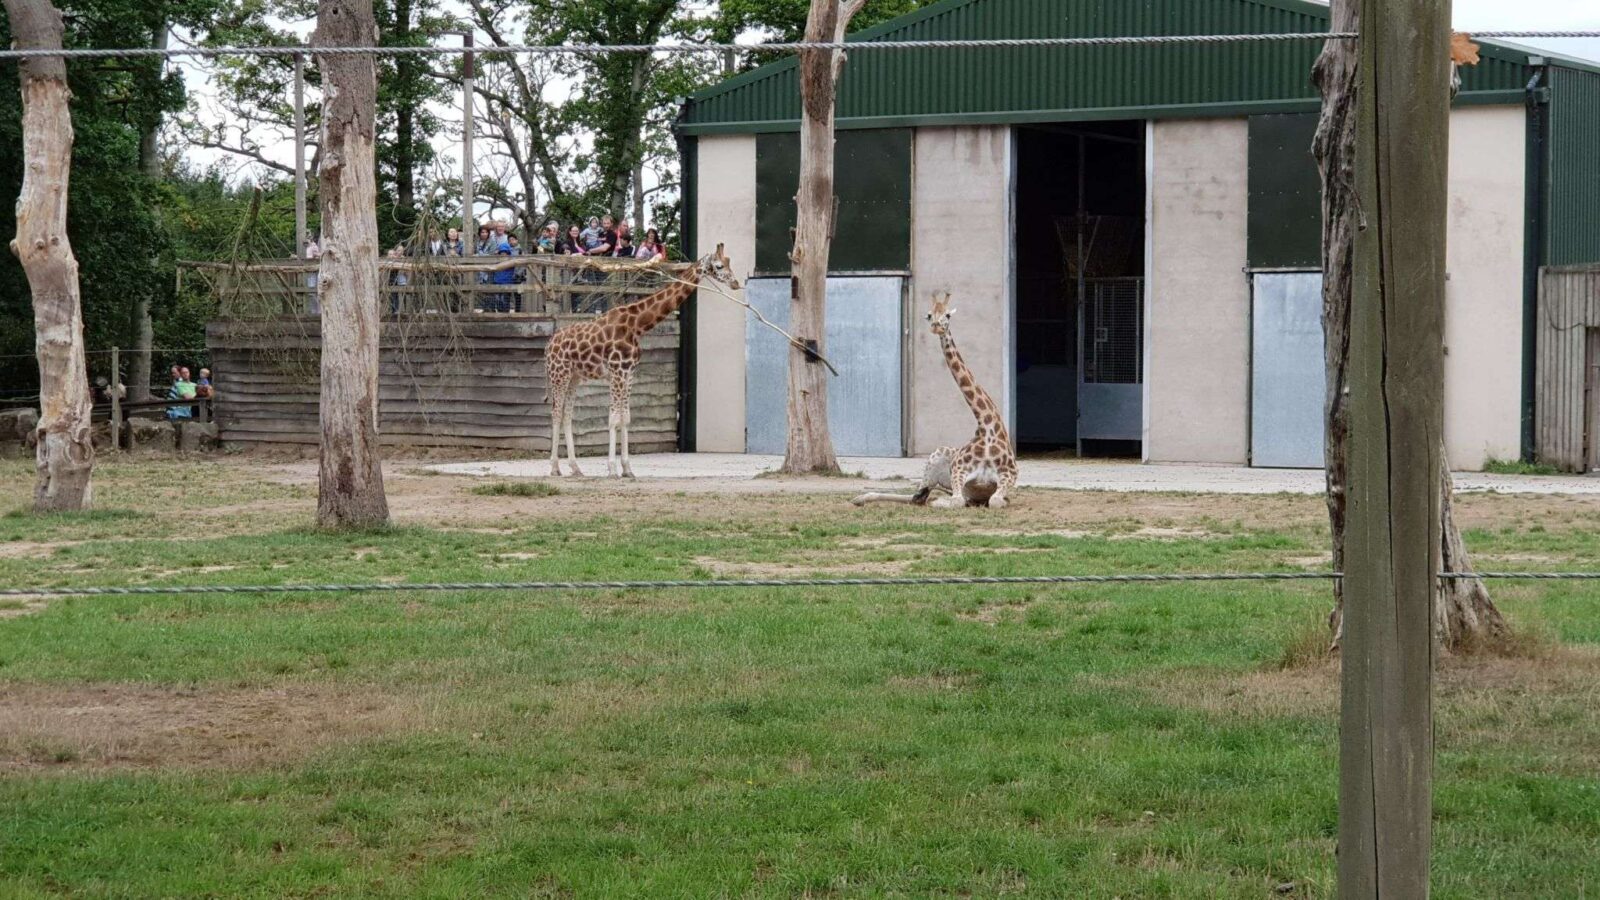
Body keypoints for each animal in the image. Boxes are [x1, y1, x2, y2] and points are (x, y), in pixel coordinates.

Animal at [540, 241, 732, 474]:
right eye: (719, 265)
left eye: (729, 263)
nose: (735, 283)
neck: (637, 325)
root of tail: (548, 346)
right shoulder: (617, 371)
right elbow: (614, 418)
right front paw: (612, 469)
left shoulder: (629, 372)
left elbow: (626, 417)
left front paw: (627, 469)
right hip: (559, 374)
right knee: (556, 413)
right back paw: (554, 468)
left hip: (574, 377)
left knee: (567, 414)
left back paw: (575, 468)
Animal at [857, 291, 1017, 509]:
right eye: (929, 315)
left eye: (947, 315)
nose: (936, 327)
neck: (988, 429)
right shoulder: (959, 472)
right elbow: (956, 501)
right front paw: (943, 502)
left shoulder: (1008, 474)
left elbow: (995, 500)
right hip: (935, 462)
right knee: (918, 496)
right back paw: (860, 498)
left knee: (925, 498)